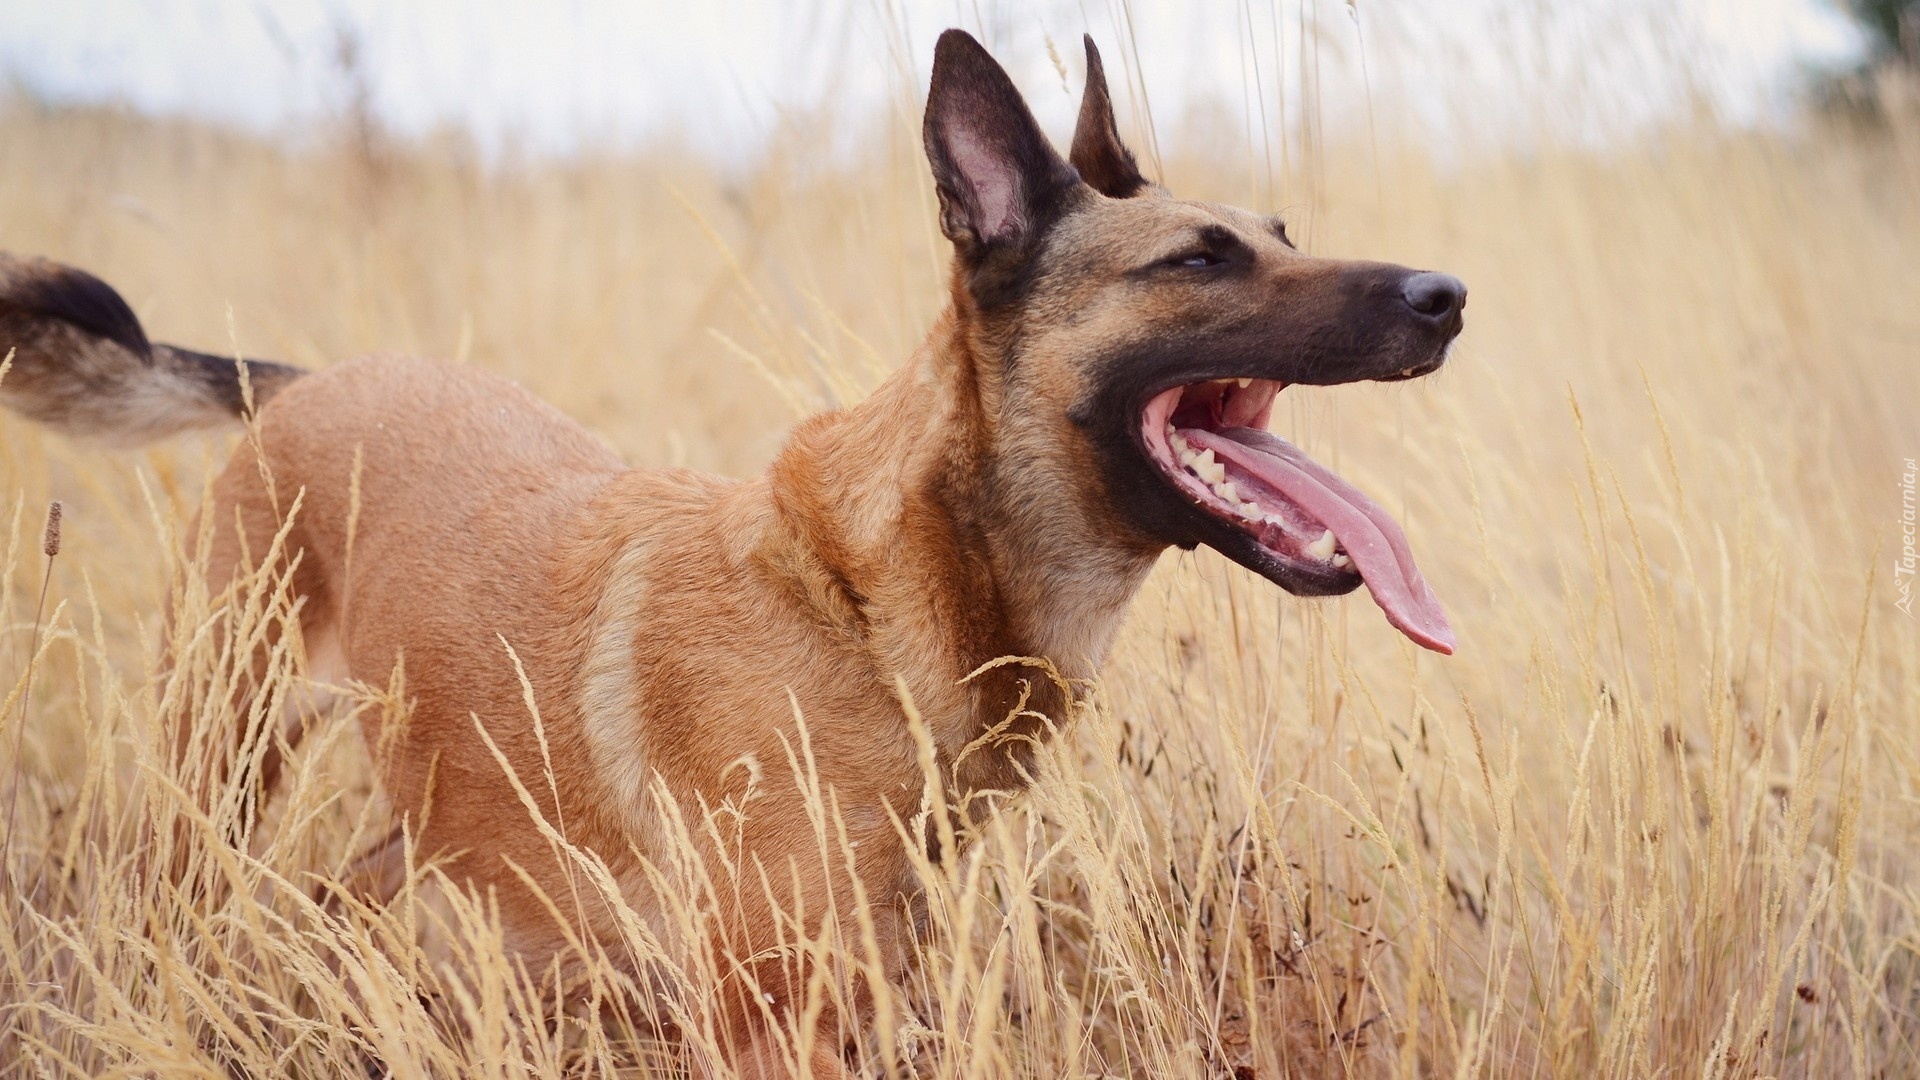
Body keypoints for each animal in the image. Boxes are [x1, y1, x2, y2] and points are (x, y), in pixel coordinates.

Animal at [0, 29, 1459, 1068]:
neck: (871, 602)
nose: (1445, 296)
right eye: (1198, 262)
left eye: (1278, 234)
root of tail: (308, 381)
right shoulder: (767, 1019)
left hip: (440, 815)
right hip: (213, 773)